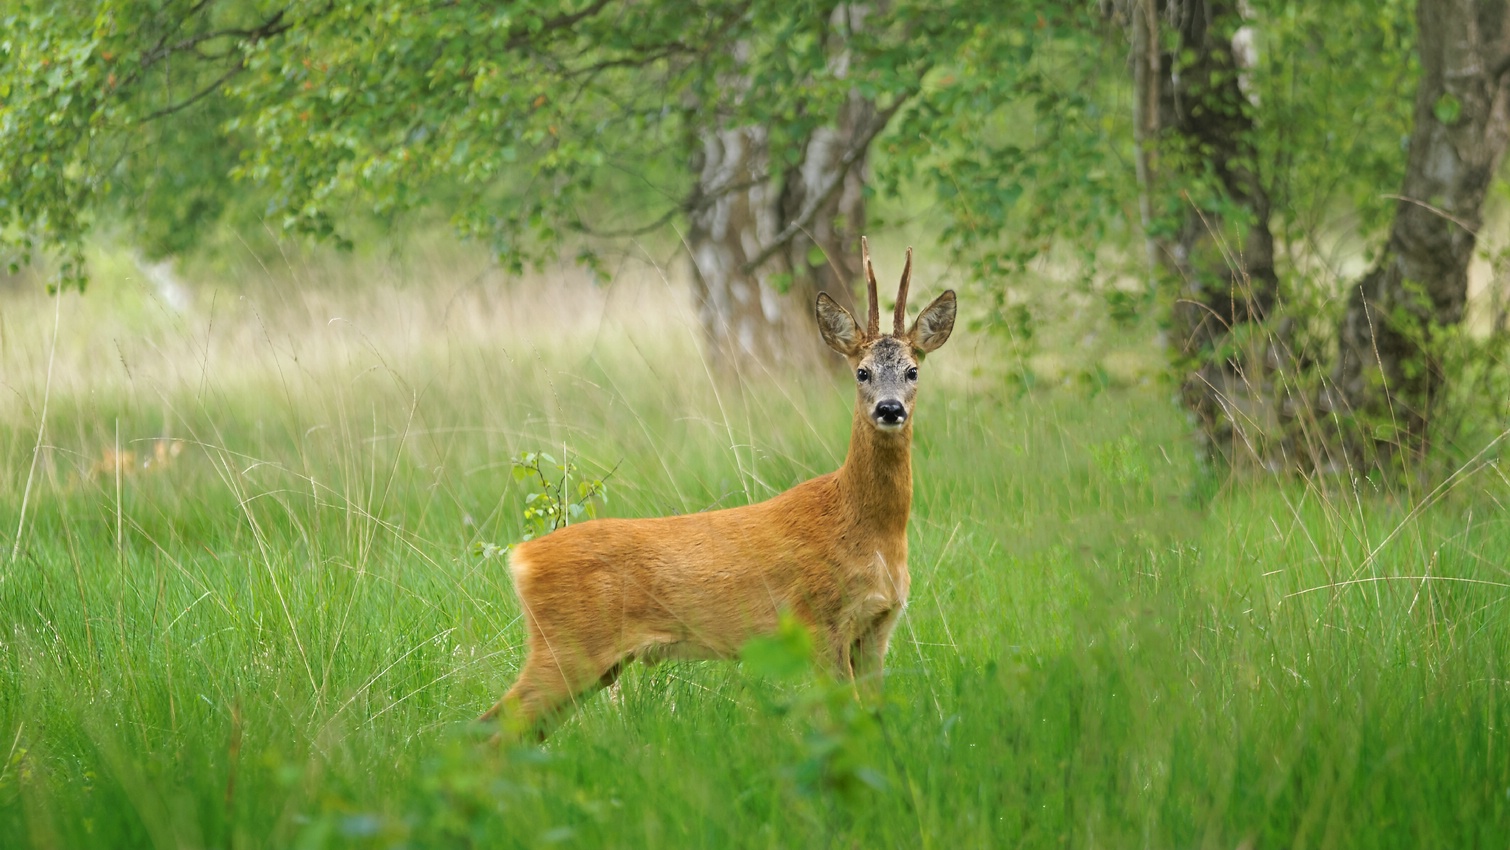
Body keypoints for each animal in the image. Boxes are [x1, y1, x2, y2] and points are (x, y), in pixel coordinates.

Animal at [483, 238, 954, 739]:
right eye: (862, 372)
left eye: (912, 371)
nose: (890, 409)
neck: (867, 529)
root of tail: (521, 558)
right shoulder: (819, 622)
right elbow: (840, 723)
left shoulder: (877, 627)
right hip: (567, 649)